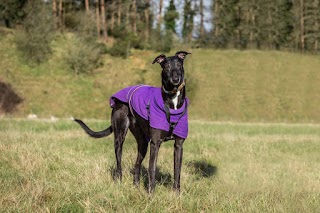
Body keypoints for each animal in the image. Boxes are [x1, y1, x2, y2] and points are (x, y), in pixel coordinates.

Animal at [75, 51, 190, 193]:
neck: (172, 101)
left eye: (179, 65)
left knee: (137, 165)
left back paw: (136, 186)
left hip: (142, 142)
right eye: (166, 66)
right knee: (119, 163)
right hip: (120, 136)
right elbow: (152, 169)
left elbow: (177, 171)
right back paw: (119, 182)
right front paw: (151, 194)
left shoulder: (179, 144)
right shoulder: (155, 143)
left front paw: (177, 194)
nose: (175, 79)